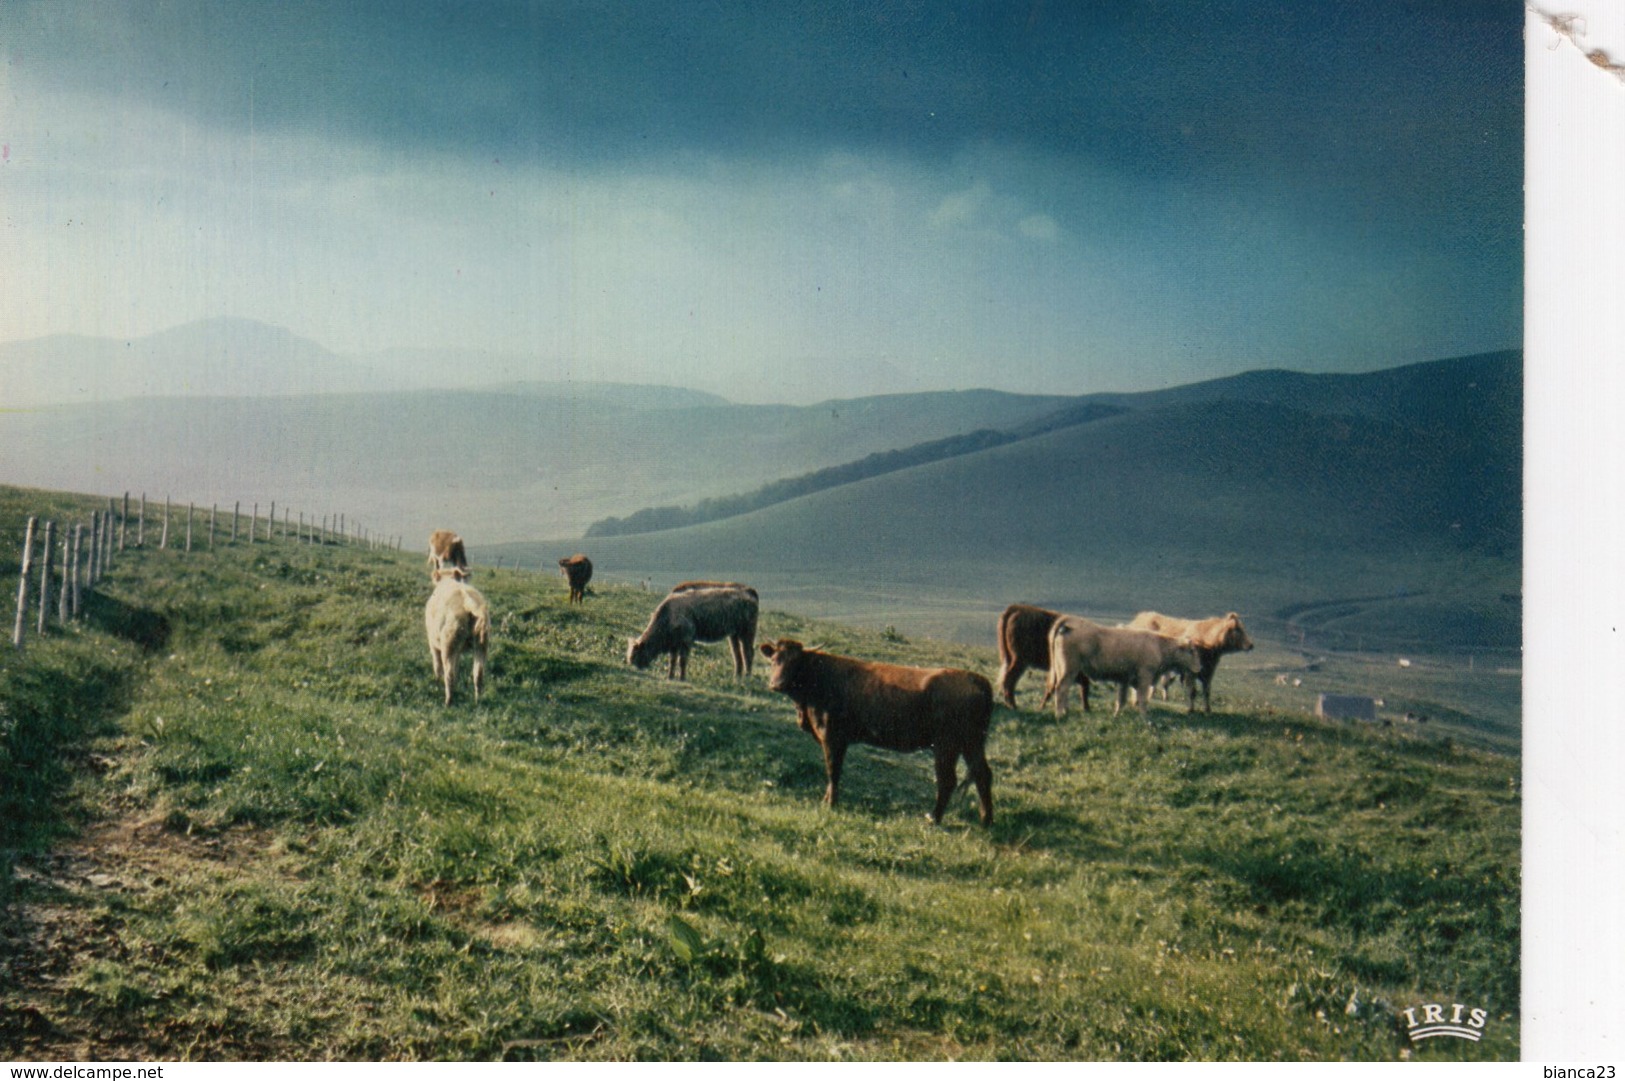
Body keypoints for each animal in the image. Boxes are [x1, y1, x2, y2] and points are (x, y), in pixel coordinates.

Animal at [425, 565, 487, 708]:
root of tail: (469, 603)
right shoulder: (457, 650)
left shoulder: (433, 642)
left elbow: (437, 664)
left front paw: (436, 681)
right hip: (481, 644)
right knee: (478, 674)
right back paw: (478, 701)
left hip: (448, 644)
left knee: (449, 674)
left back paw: (448, 702)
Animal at [624, 581, 757, 676]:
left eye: (637, 654)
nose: (636, 666)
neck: (669, 614)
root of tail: (750, 592)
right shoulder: (674, 644)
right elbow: (672, 661)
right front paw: (670, 677)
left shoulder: (686, 641)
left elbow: (682, 662)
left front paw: (682, 678)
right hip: (734, 635)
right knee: (737, 655)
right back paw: (737, 677)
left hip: (747, 632)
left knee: (748, 653)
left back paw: (747, 677)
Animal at [757, 637, 994, 822]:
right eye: (774, 660)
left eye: (796, 663)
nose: (777, 684)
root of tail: (975, 678)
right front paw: (827, 800)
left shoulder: (833, 736)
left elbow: (833, 770)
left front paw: (831, 803)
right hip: (971, 743)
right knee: (982, 774)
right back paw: (986, 820)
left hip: (947, 745)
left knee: (948, 780)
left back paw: (933, 818)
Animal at [1046, 614, 1202, 715]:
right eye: (1192, 651)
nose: (1200, 667)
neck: (1159, 645)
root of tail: (1071, 621)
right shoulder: (1144, 677)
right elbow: (1142, 699)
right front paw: (1145, 718)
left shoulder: (1124, 679)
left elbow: (1121, 700)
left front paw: (1116, 715)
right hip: (1069, 669)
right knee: (1061, 688)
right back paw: (1060, 714)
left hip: (1063, 669)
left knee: (1063, 689)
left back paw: (1065, 711)